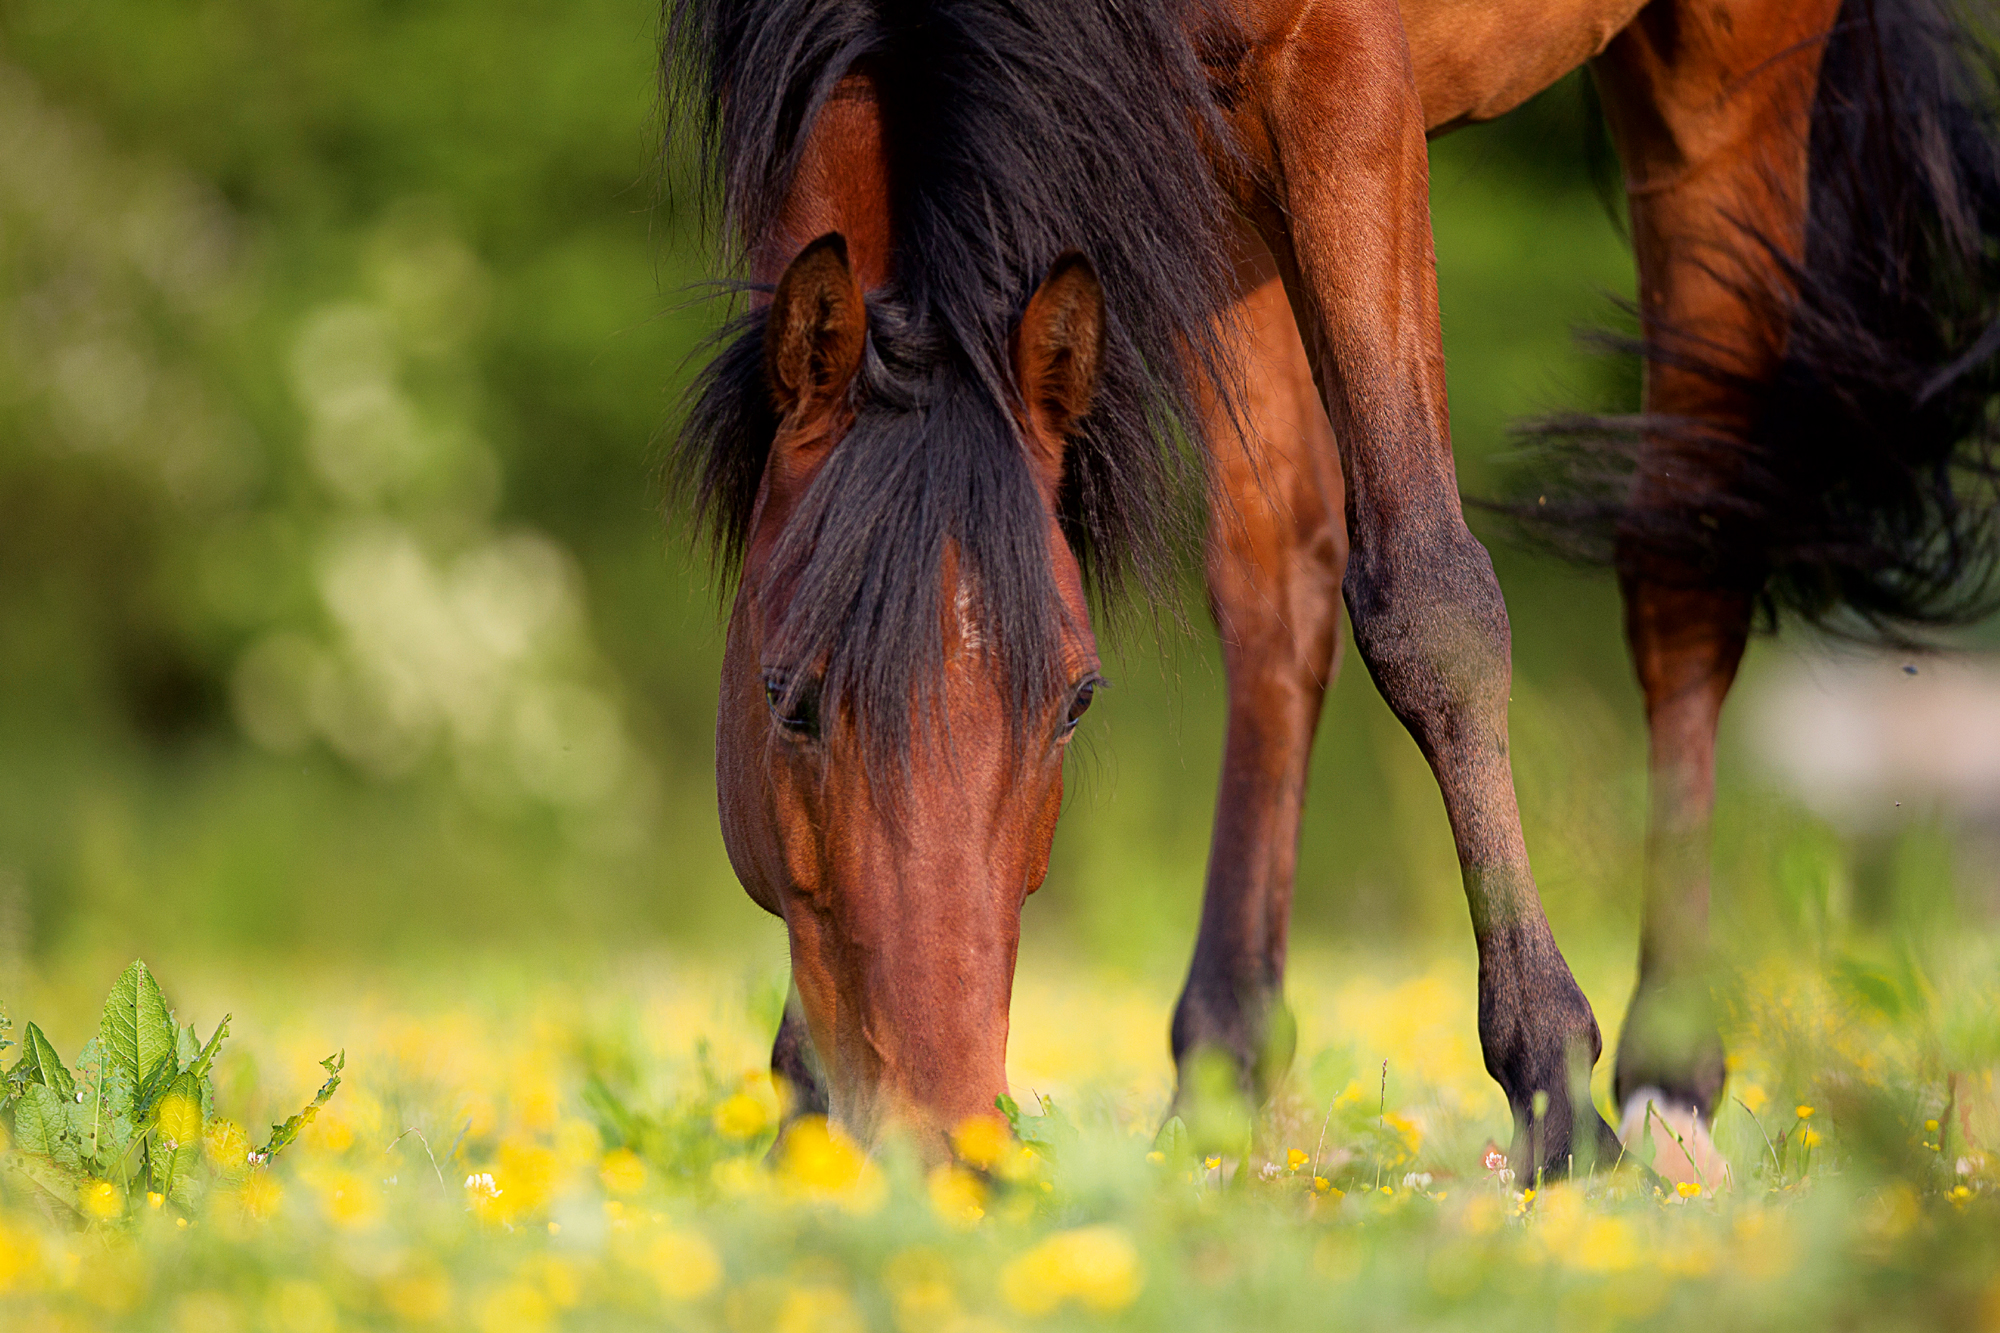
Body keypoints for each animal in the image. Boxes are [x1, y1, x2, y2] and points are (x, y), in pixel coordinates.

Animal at [664, 0, 2000, 1176]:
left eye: (1074, 704)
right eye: (785, 700)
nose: (938, 1142)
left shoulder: (1344, 78)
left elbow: (1427, 598)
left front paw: (1554, 1096)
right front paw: (800, 1096)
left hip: (1718, 86)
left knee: (1685, 556)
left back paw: (1666, 1089)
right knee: (1278, 580)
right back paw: (1221, 1071)